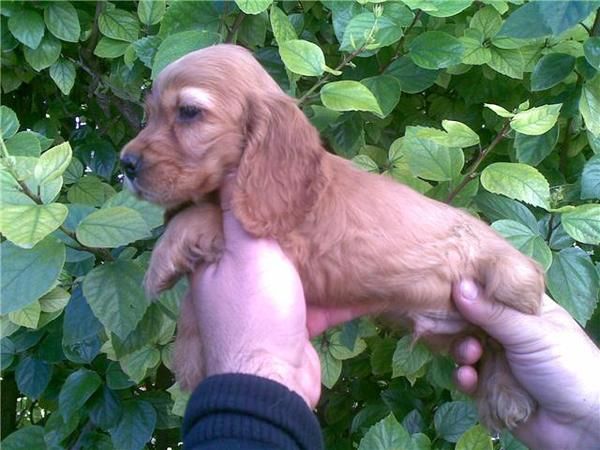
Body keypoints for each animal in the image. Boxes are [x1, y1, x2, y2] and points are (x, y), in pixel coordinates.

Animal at [120, 44, 544, 430]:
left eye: (189, 112)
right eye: (149, 114)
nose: (125, 164)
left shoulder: (292, 239)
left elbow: (202, 219)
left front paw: (164, 261)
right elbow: (194, 300)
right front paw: (193, 352)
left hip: (510, 279)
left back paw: (509, 389)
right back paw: (503, 396)